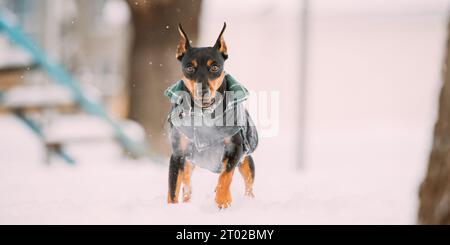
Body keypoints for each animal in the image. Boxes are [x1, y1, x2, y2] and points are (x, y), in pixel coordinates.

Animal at [165, 22, 258, 209]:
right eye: (189, 67)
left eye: (215, 67)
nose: (203, 91)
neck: (205, 114)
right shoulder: (178, 154)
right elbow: (172, 189)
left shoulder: (236, 148)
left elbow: (225, 176)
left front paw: (223, 200)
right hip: (189, 162)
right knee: (187, 184)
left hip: (247, 160)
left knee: (248, 183)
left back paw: (248, 201)